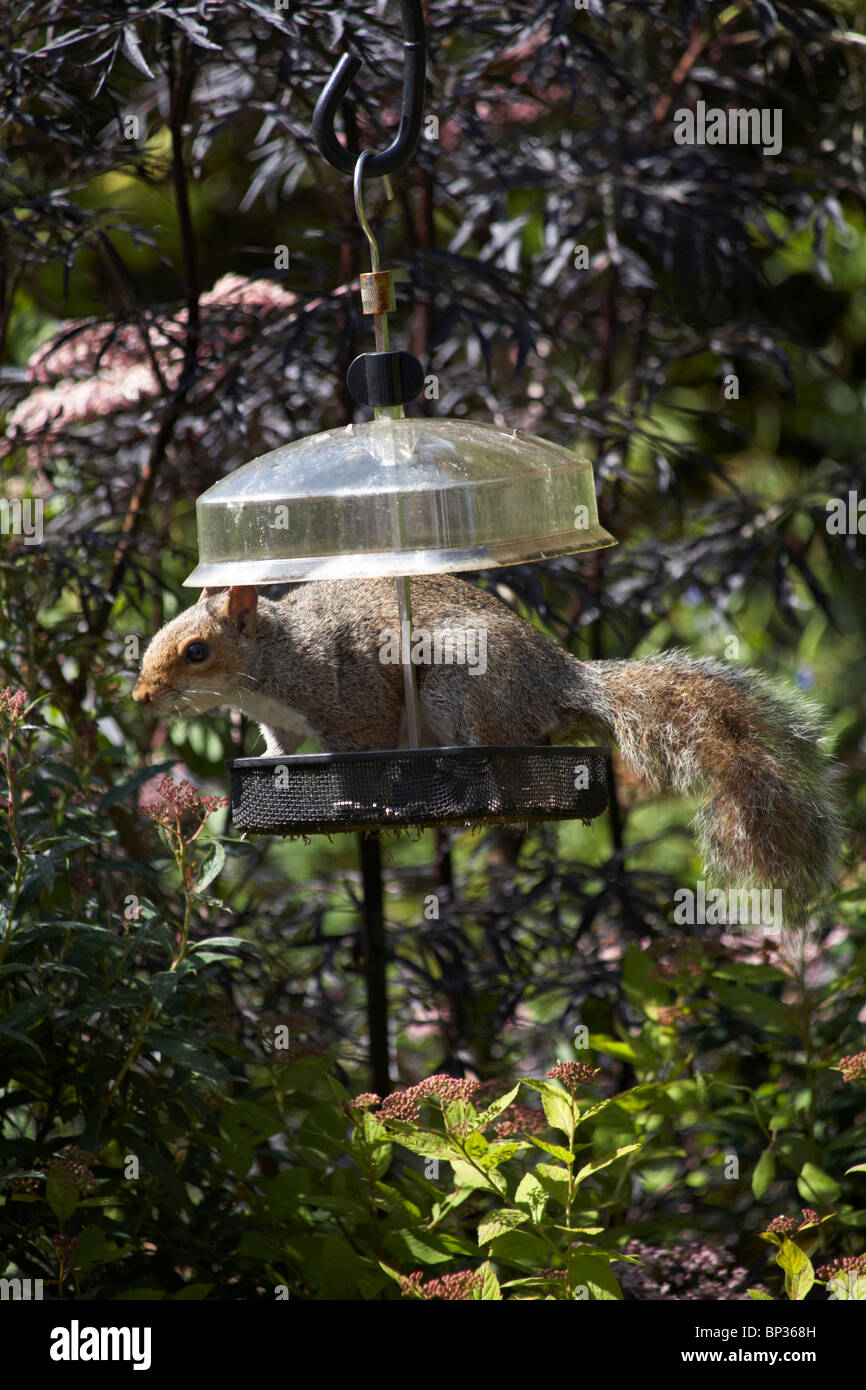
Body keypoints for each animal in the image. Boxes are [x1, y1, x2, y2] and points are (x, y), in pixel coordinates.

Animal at [133, 575, 841, 922]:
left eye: (196, 651)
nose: (142, 697)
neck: (271, 664)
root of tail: (560, 682)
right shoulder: (283, 726)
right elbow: (281, 749)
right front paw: (275, 773)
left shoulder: (351, 700)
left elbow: (362, 748)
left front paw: (355, 802)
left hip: (459, 684)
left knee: (497, 750)